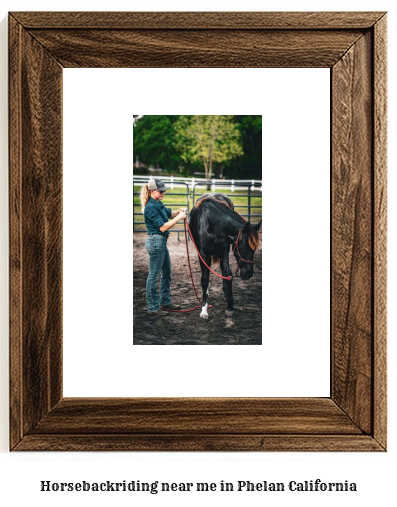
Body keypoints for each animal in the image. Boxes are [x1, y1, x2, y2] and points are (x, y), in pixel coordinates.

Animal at [188, 192, 262, 320]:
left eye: (254, 249)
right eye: (243, 247)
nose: (248, 274)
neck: (210, 222)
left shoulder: (224, 251)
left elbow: (228, 274)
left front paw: (230, 306)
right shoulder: (203, 254)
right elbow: (204, 279)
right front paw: (204, 310)